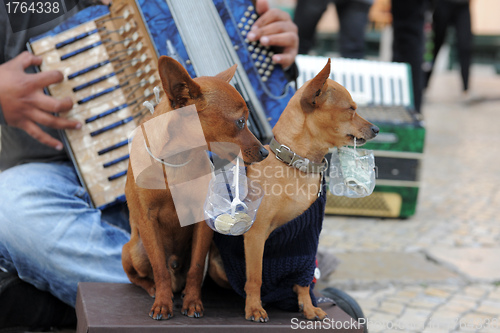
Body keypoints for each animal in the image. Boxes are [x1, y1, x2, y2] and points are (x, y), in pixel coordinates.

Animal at [122, 56, 268, 320]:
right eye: (240, 122)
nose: (264, 151)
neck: (176, 159)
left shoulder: (202, 222)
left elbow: (196, 267)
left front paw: (192, 302)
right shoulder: (147, 221)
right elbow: (159, 267)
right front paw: (162, 303)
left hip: (215, 260)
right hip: (133, 251)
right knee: (142, 275)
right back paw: (154, 289)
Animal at [210, 59, 378, 322]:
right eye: (351, 109)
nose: (377, 129)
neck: (297, 166)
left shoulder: (306, 238)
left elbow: (304, 281)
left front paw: (308, 307)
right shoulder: (256, 235)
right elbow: (254, 277)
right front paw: (254, 307)